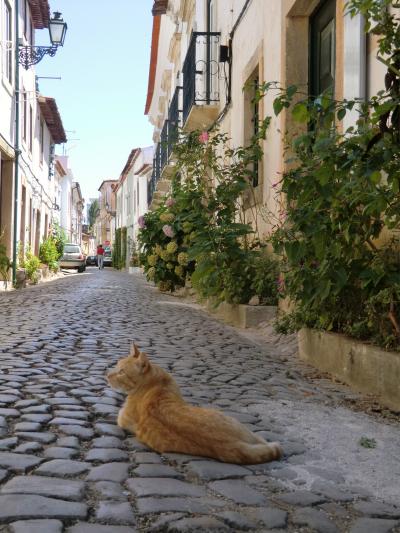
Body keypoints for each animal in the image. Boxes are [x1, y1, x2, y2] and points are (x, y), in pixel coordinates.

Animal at [106, 344, 282, 462]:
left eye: (121, 372)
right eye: (116, 366)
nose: (107, 375)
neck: (154, 382)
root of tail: (232, 444)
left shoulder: (122, 418)